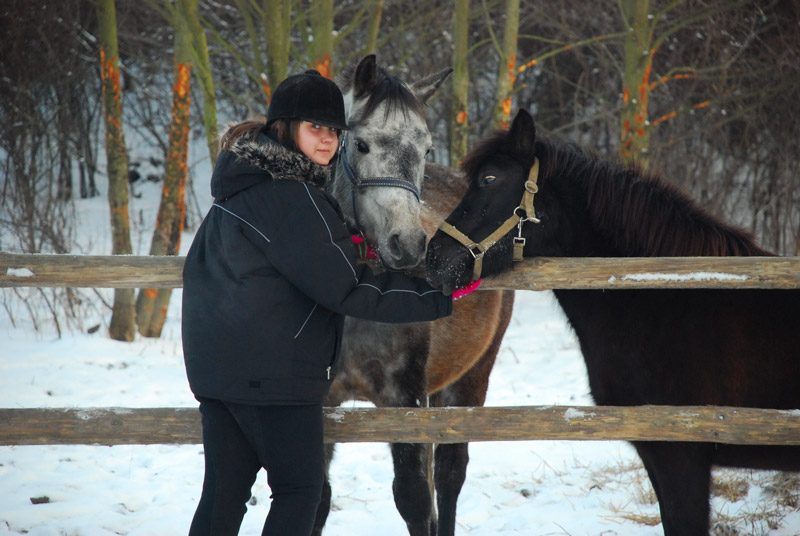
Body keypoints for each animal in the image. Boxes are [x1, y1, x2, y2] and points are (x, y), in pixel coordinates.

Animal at [310, 55, 512, 536]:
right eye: (361, 144)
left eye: (426, 150)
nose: (408, 245)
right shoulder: (320, 408)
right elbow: (317, 499)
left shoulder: (403, 399)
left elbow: (415, 499)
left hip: (471, 377)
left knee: (450, 476)